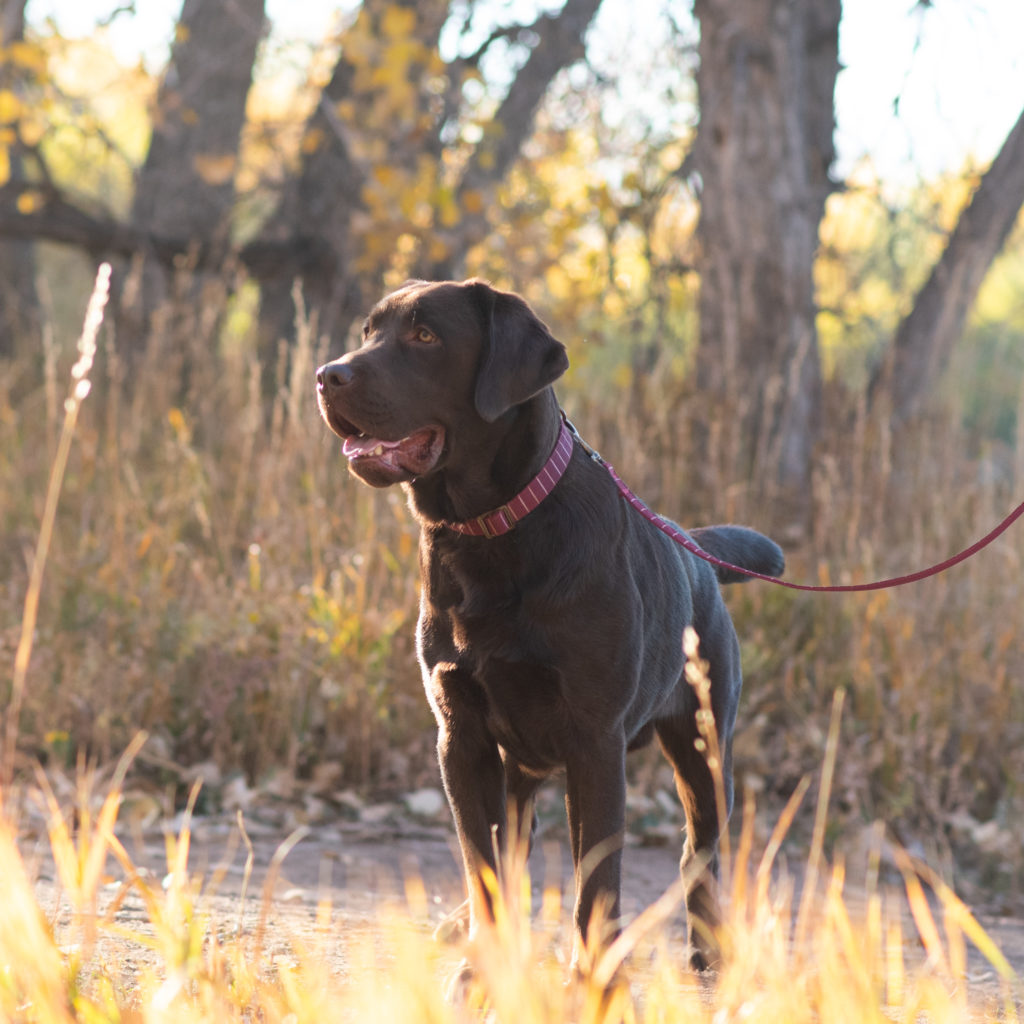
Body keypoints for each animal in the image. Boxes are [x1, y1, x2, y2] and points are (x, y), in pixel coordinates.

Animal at [317, 278, 782, 974]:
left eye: (425, 336)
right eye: (369, 331)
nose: (327, 375)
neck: (490, 533)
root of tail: (695, 549)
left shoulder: (594, 738)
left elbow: (597, 877)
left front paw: (594, 975)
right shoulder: (459, 733)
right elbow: (482, 860)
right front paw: (482, 959)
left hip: (702, 742)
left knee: (699, 849)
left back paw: (708, 946)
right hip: (521, 761)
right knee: (515, 841)